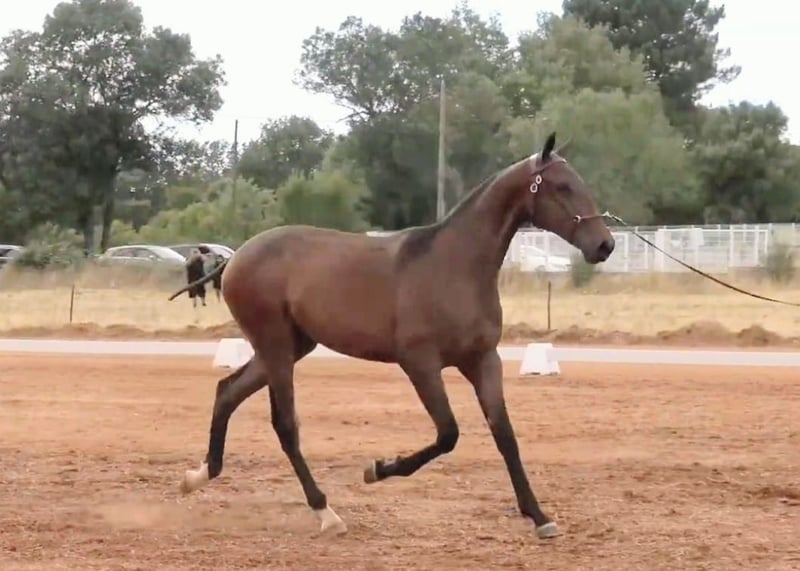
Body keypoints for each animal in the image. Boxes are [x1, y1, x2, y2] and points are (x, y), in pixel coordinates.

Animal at [168, 132, 615, 540]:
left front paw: (539, 516)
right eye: (562, 187)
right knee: (285, 425)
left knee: (227, 392)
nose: (604, 245)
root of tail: (234, 258)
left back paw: (198, 475)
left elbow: (504, 434)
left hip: (290, 346)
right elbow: (448, 434)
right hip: (276, 345)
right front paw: (377, 469)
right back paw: (326, 512)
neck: (455, 265)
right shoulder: (420, 364)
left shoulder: (483, 360)